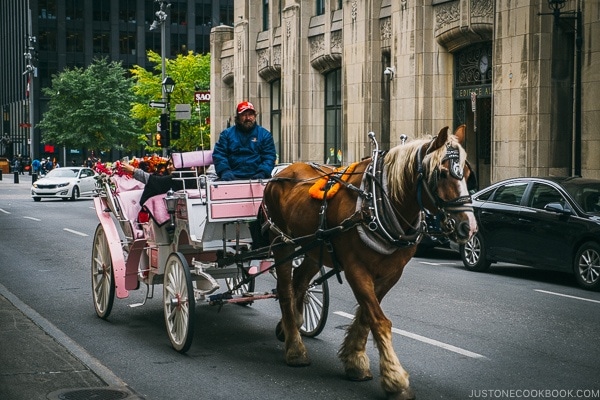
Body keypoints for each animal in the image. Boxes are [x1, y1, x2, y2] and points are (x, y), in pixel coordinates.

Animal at [262, 124, 478, 396]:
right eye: (441, 173)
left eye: (467, 173)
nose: (468, 228)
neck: (379, 202)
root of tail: (280, 173)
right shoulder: (356, 268)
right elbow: (379, 320)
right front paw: (395, 379)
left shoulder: (391, 273)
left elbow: (366, 316)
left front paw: (355, 360)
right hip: (282, 243)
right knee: (285, 289)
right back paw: (294, 347)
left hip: (314, 247)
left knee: (299, 282)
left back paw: (291, 326)